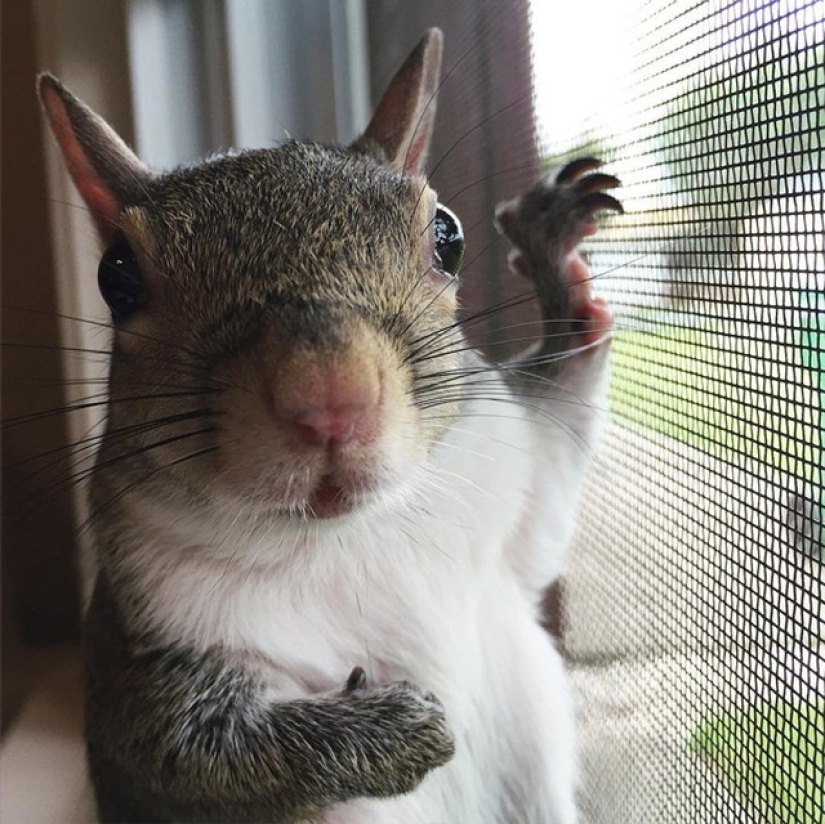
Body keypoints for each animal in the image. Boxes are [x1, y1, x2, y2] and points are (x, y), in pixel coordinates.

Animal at [38, 27, 621, 824]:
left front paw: (557, 261)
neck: (352, 536)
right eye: (116, 277)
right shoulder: (145, 661)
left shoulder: (507, 502)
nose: (329, 398)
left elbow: (547, 510)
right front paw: (392, 730)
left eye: (448, 238)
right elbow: (199, 754)